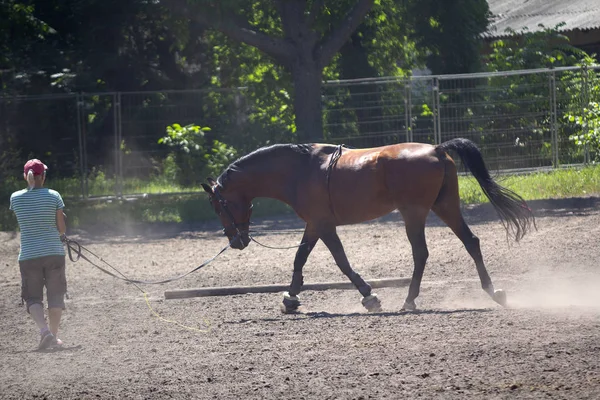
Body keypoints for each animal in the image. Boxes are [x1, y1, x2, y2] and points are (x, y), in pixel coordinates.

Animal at [202, 138, 536, 312]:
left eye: (217, 205)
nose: (236, 241)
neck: (300, 170)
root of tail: (437, 149)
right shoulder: (314, 225)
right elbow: (300, 258)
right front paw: (291, 298)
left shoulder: (324, 225)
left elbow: (341, 261)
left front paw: (369, 295)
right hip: (445, 206)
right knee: (471, 242)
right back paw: (493, 292)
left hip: (414, 213)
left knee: (421, 253)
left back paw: (409, 300)